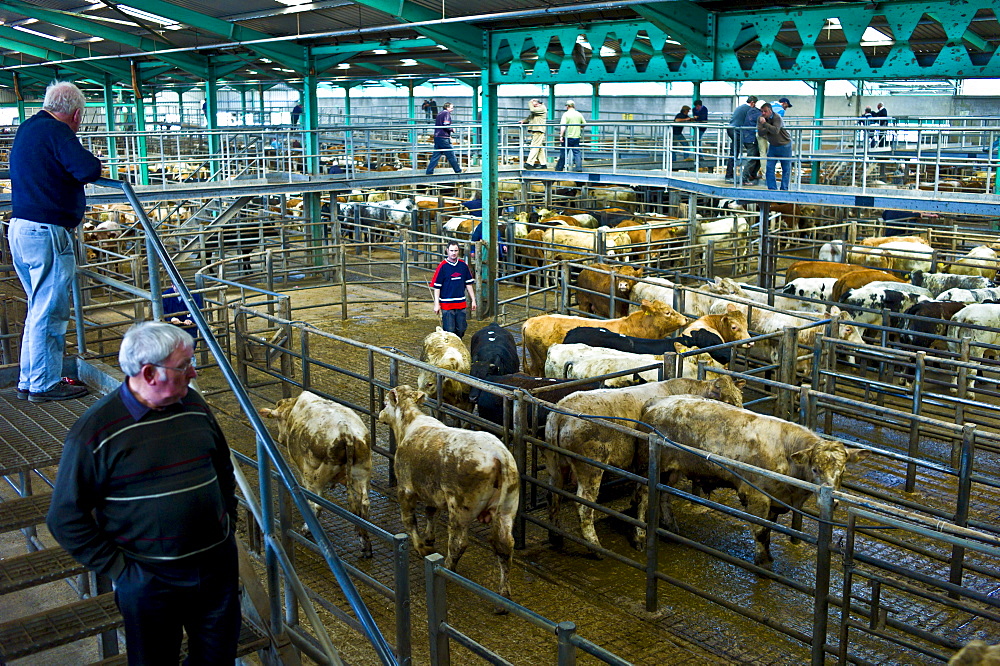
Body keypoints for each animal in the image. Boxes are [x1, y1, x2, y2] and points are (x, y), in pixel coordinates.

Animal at [262, 390, 376, 556]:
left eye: (278, 420)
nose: (280, 437)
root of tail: (346, 432)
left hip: (315, 477)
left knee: (317, 504)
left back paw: (306, 529)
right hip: (362, 473)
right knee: (364, 506)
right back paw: (365, 544)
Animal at [378, 384, 520, 600]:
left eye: (386, 403)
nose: (380, 414)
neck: (410, 425)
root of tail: (498, 454)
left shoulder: (406, 488)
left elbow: (409, 520)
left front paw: (421, 546)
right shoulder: (432, 492)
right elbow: (431, 512)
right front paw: (429, 537)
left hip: (460, 508)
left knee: (458, 543)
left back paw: (447, 568)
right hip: (507, 508)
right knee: (504, 547)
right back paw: (504, 592)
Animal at [544, 376, 748, 552]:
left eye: (740, 399)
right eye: (727, 402)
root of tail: (562, 409)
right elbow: (657, 495)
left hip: (556, 465)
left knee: (553, 494)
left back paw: (556, 537)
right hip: (591, 468)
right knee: (583, 504)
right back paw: (595, 546)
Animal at [640, 394, 868, 564]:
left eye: (843, 470)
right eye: (814, 469)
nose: (833, 502)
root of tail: (656, 403)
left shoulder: (775, 500)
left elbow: (768, 531)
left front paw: (768, 557)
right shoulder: (757, 496)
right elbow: (760, 532)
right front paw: (763, 564)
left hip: (671, 471)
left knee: (663, 497)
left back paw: (671, 527)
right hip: (648, 465)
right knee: (644, 494)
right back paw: (641, 535)